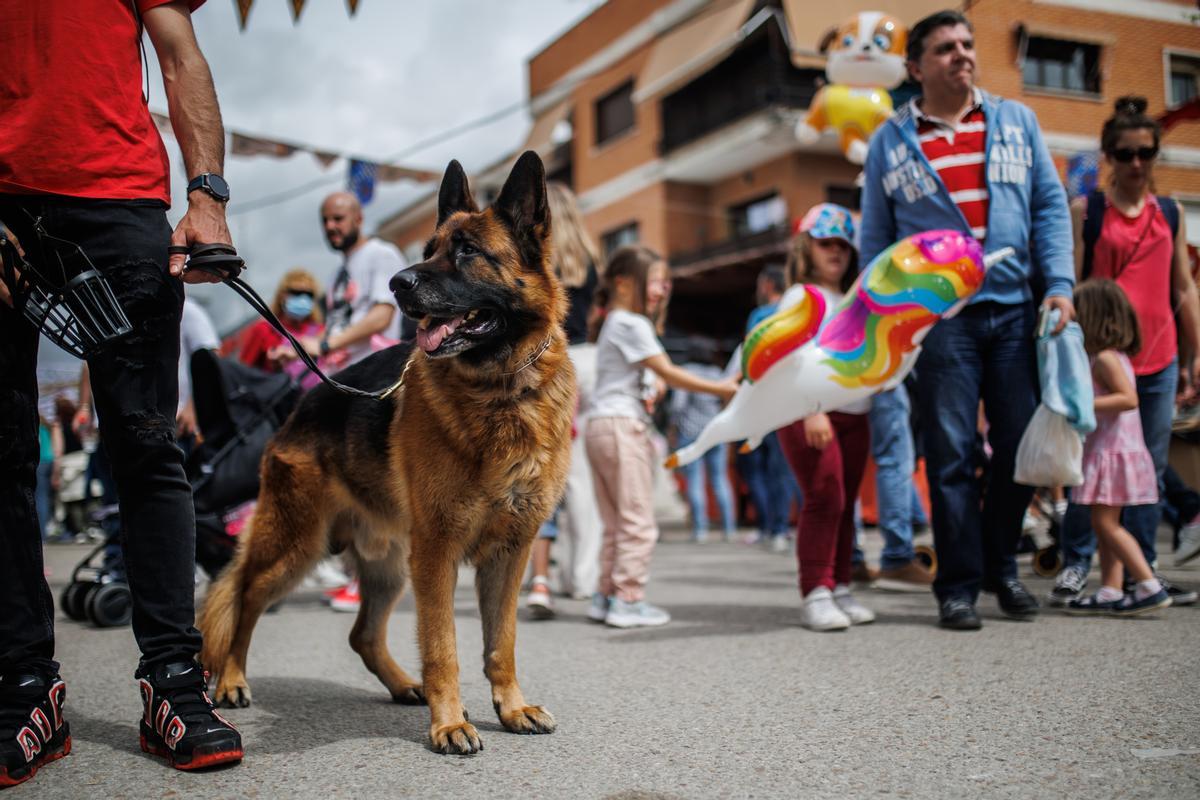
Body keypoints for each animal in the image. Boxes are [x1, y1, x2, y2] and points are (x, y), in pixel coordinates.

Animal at [201, 151, 576, 758]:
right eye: (428, 250)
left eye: (467, 252)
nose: (398, 283)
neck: (499, 389)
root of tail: (298, 406)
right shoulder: (438, 553)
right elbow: (443, 645)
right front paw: (449, 724)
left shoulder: (509, 555)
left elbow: (502, 642)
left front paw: (511, 708)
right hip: (297, 548)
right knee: (245, 599)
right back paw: (232, 679)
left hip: (389, 566)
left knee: (361, 634)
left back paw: (405, 686)